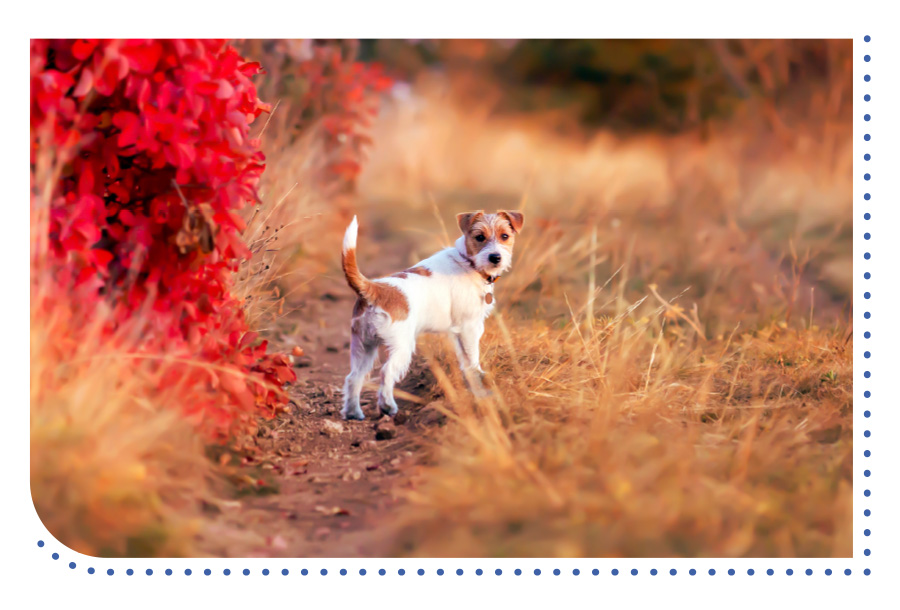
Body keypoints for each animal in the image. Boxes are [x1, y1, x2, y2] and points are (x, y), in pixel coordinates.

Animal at [340, 209, 524, 418]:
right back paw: (388, 406)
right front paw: (480, 387)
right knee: (386, 372)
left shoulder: (458, 333)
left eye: (505, 236)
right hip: (401, 346)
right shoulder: (469, 328)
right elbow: (472, 359)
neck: (468, 262)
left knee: (353, 377)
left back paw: (353, 412)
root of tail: (375, 289)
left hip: (363, 346)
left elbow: (464, 360)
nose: (495, 257)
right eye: (479, 237)